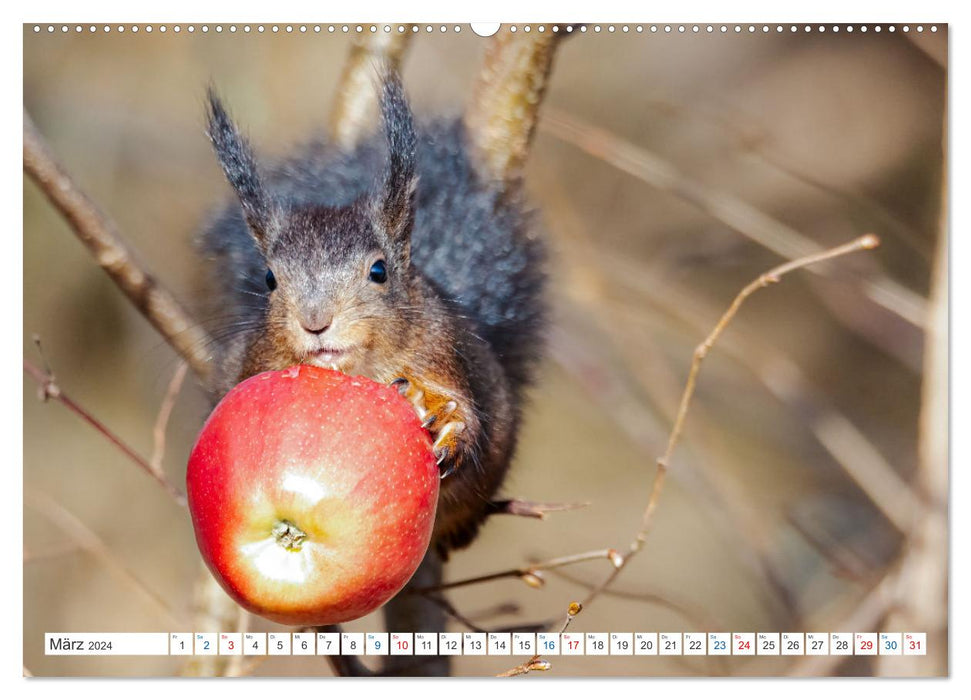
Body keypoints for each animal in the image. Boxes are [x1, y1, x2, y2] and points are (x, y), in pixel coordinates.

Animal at [197, 71, 548, 552]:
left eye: (378, 271)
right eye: (269, 278)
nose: (315, 322)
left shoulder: (441, 352)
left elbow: (466, 419)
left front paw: (442, 419)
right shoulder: (250, 365)